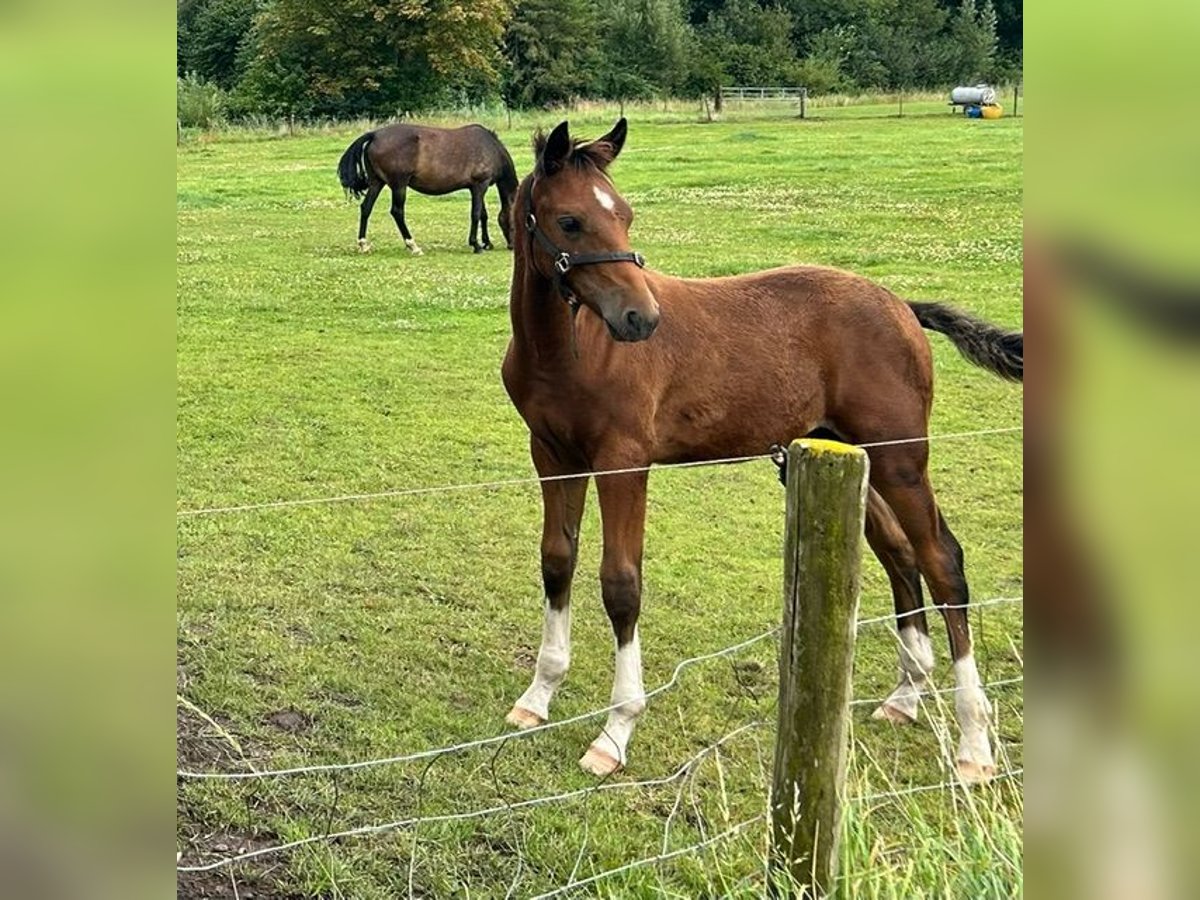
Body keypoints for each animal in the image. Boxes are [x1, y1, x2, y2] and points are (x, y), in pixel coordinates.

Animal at [336, 123, 518, 256]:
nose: (512, 246)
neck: (491, 148)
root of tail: (375, 135)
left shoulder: (476, 187)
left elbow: (482, 215)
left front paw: (487, 242)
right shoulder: (480, 185)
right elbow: (476, 214)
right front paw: (476, 245)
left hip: (377, 183)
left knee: (366, 208)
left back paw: (363, 244)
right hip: (399, 185)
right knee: (397, 212)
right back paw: (413, 246)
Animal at [499, 118, 1022, 782]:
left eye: (625, 215)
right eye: (569, 221)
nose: (641, 318)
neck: (569, 349)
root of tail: (903, 306)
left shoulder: (624, 461)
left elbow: (621, 583)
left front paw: (614, 733)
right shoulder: (552, 456)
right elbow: (556, 562)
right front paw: (537, 697)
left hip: (902, 456)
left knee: (943, 561)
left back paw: (974, 745)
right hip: (849, 453)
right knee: (899, 554)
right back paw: (905, 698)